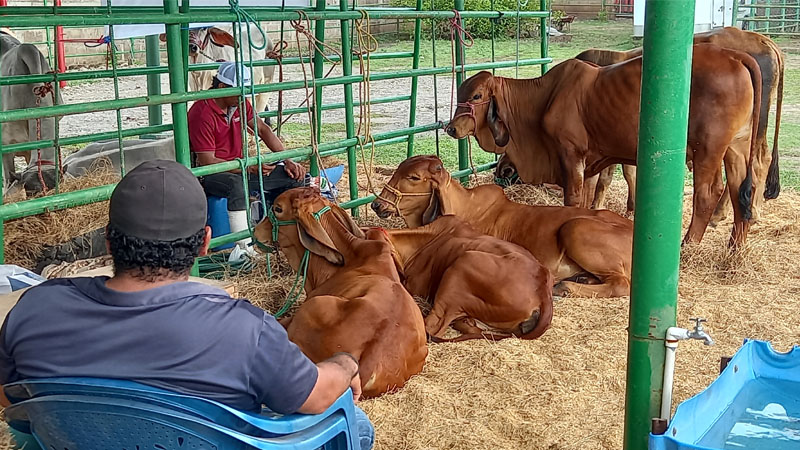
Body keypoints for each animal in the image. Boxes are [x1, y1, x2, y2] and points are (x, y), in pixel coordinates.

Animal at [450, 44, 764, 248]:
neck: (544, 98)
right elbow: (588, 198)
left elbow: (573, 198)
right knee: (739, 191)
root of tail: (736, 55)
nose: (450, 128)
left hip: (707, 149)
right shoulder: (589, 162)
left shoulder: (570, 153)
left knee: (708, 194)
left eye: (476, 95)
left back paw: (689, 245)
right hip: (736, 148)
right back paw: (735, 249)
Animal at [580, 25, 784, 223]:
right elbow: (629, 172)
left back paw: (728, 213)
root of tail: (763, 41)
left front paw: (597, 206)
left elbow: (605, 178)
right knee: (761, 160)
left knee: (754, 164)